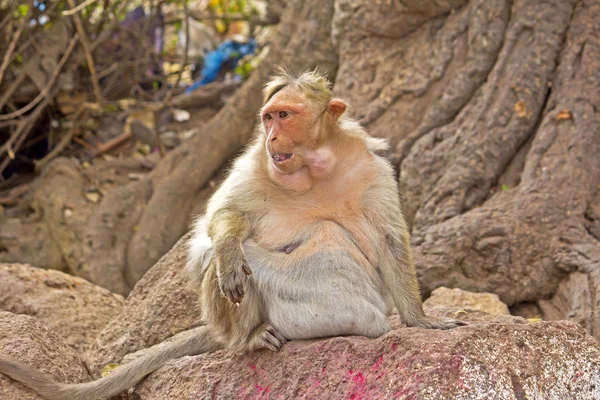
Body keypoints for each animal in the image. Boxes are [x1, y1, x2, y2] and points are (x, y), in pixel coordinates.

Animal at [0, 67, 464, 398]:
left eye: (285, 115)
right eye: (268, 118)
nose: (272, 135)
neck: (316, 166)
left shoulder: (372, 168)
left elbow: (389, 240)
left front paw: (420, 320)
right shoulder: (257, 162)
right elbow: (224, 220)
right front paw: (226, 249)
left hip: (352, 313)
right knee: (234, 265)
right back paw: (246, 338)